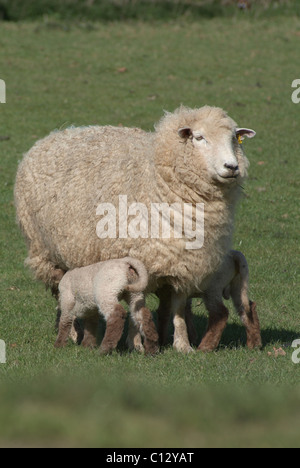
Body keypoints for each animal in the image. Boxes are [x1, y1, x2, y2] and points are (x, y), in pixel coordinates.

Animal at [14, 106, 255, 352]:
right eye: (199, 138)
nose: (232, 167)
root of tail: (55, 135)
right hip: (46, 253)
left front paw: (182, 345)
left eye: (234, 139)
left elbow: (178, 308)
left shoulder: (181, 264)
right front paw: (136, 343)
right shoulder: (137, 260)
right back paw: (72, 333)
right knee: (61, 293)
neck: (158, 181)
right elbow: (137, 305)